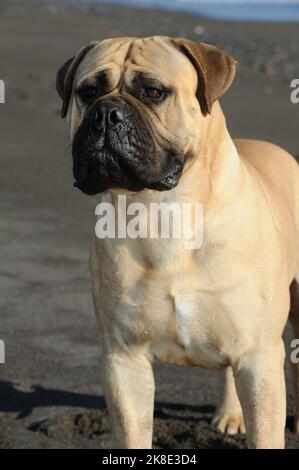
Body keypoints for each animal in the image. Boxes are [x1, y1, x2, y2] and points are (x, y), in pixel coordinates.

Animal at [56, 35, 299, 448]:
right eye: (88, 91)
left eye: (154, 92)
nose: (106, 114)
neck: (162, 211)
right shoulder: (124, 359)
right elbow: (133, 432)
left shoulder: (260, 356)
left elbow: (265, 432)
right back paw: (231, 413)